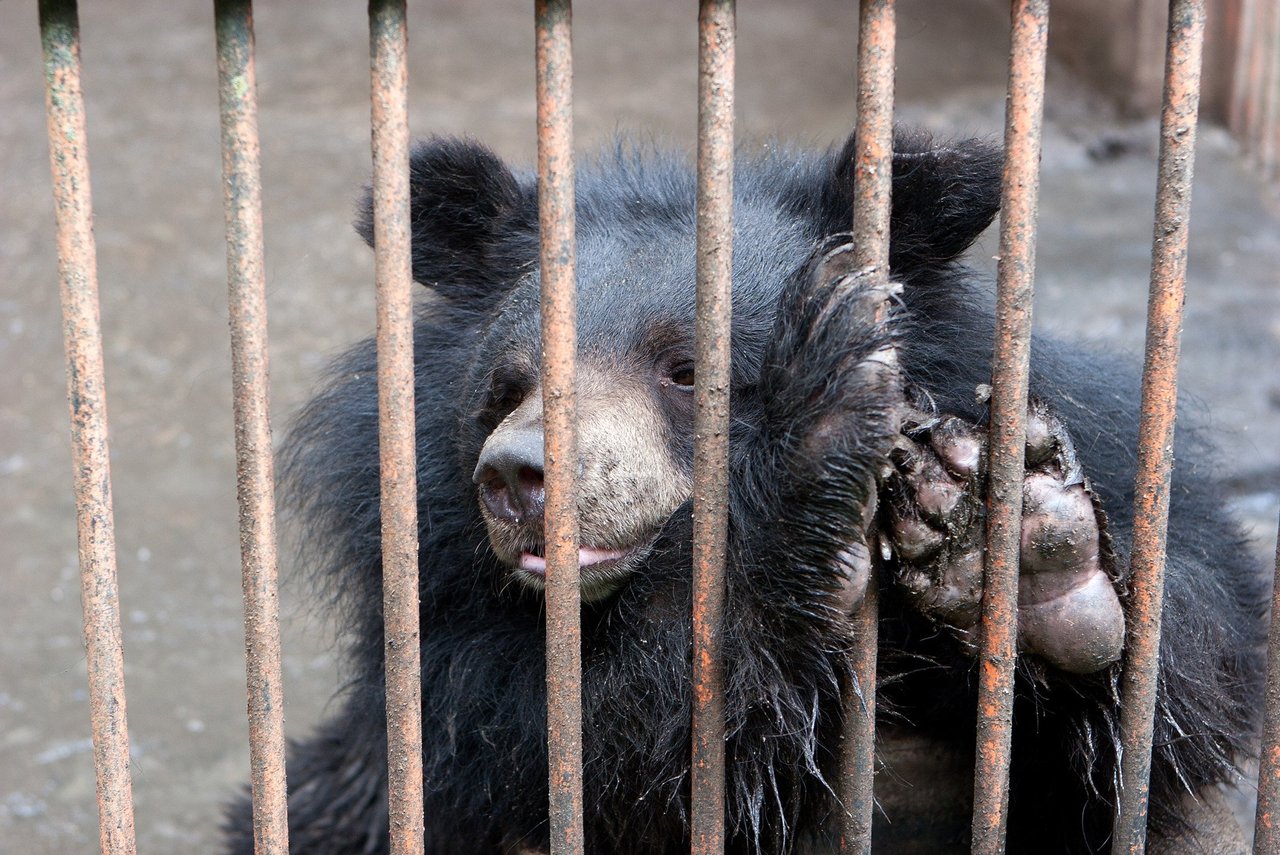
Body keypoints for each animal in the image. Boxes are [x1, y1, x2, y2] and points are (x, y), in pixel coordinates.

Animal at [225, 130, 1264, 849]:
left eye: (687, 371)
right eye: (508, 386)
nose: (517, 477)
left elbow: (1195, 686)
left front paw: (1008, 545)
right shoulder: (435, 622)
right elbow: (611, 750)